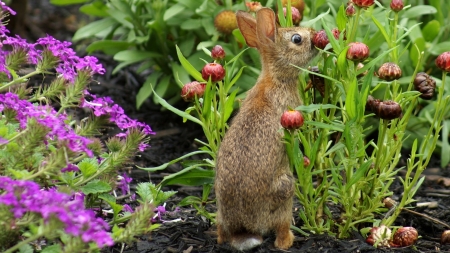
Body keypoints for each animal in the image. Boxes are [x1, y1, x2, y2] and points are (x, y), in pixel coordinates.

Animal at [214, 7, 316, 251]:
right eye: (297, 39)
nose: (315, 36)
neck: (276, 78)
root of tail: (243, 229)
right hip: (285, 190)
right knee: (281, 232)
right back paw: (290, 239)